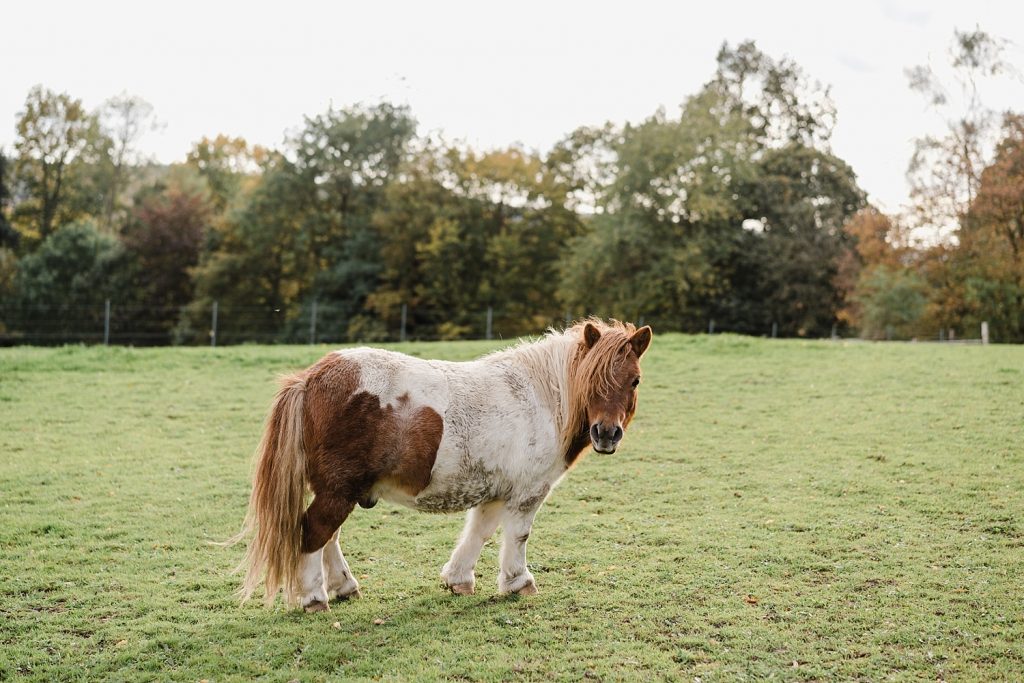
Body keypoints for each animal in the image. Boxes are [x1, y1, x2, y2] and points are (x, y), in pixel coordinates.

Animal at [229, 317, 651, 610]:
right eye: (594, 379)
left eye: (634, 381)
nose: (606, 433)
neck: (542, 398)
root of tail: (311, 377)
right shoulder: (527, 492)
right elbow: (518, 537)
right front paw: (518, 582)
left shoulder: (495, 492)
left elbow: (479, 532)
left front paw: (458, 579)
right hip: (338, 490)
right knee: (315, 533)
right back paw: (315, 597)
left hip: (337, 489)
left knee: (327, 535)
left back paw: (343, 586)